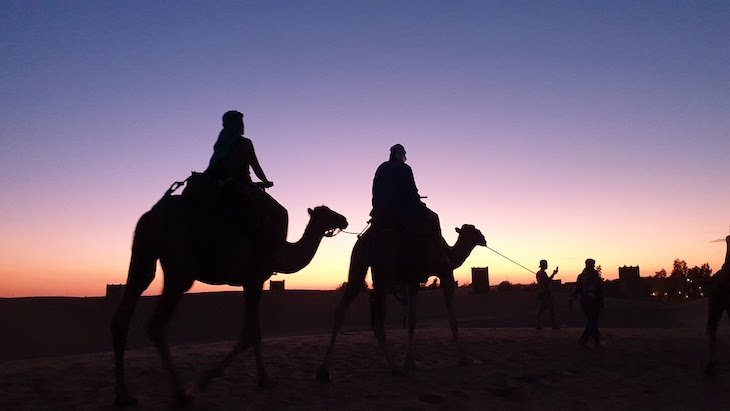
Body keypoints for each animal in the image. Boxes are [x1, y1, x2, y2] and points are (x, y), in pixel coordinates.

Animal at [109, 193, 346, 406]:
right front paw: (206, 380)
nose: (344, 219)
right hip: (180, 268)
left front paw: (262, 378)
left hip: (144, 255)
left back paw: (124, 395)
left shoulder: (250, 282)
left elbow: (253, 333)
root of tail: (150, 217)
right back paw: (181, 393)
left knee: (126, 310)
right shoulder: (255, 279)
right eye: (326, 212)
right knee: (156, 324)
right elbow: (250, 334)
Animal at [316, 224, 486, 382]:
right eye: (475, 231)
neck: (449, 253)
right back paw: (395, 368)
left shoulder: (412, 281)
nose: (484, 239)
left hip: (358, 263)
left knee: (341, 308)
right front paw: (465, 358)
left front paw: (410, 362)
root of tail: (367, 239)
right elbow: (452, 320)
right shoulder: (446, 274)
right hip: (384, 271)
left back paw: (324, 371)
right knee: (378, 323)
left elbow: (411, 321)